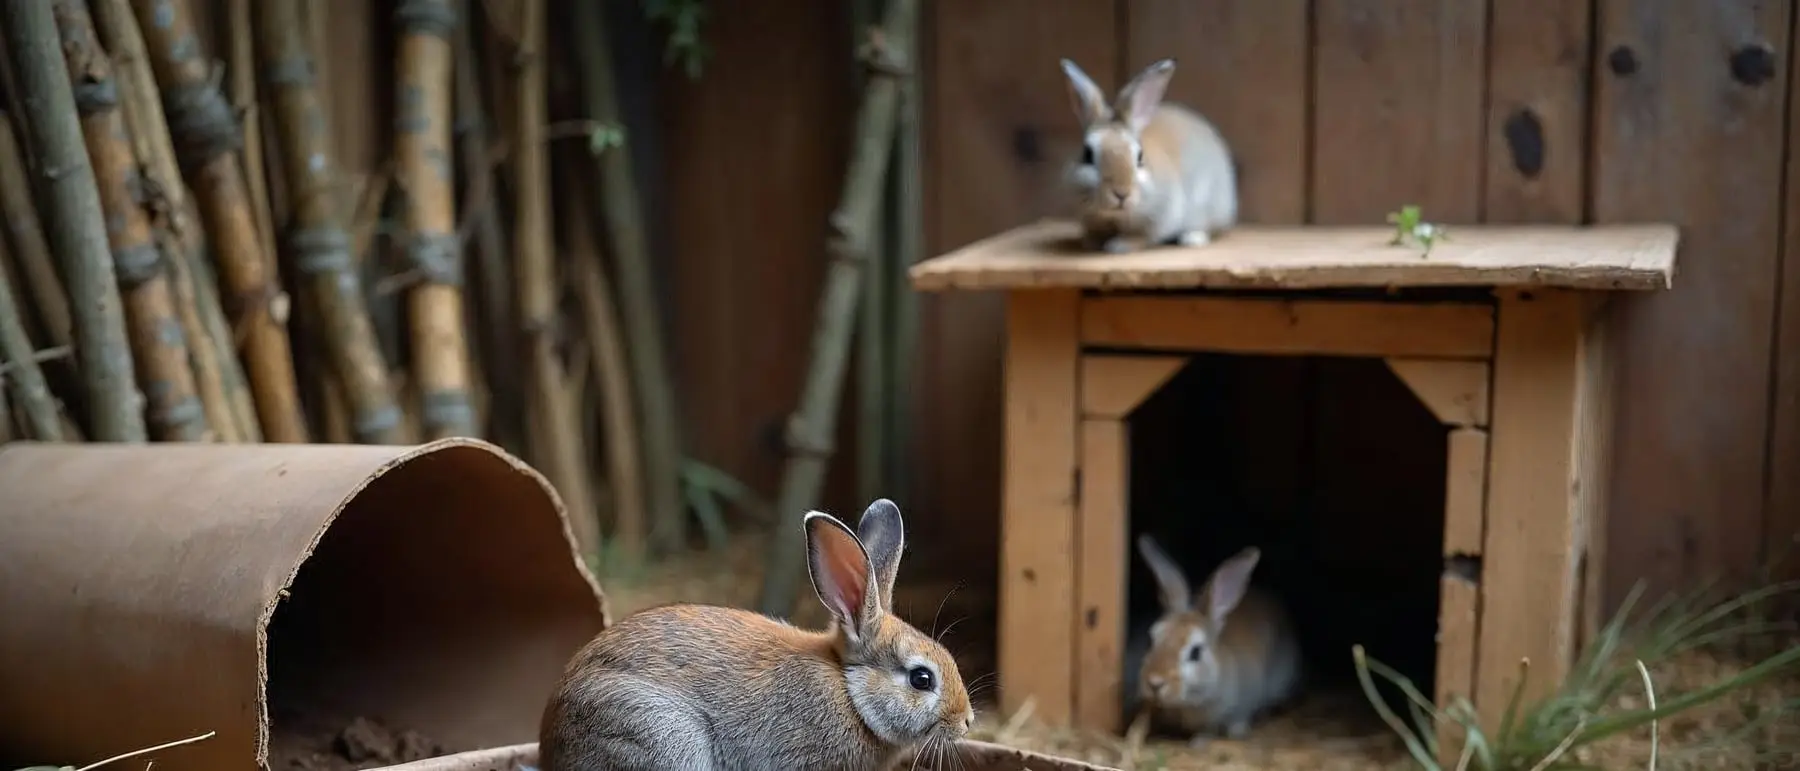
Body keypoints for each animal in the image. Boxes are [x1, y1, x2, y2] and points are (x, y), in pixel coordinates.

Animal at [1058, 57, 1238, 254]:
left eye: (1139, 157)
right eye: (1087, 154)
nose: (1121, 193)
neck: (1115, 218)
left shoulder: (1159, 218)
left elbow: (1142, 237)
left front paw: (1118, 245)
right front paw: (1091, 243)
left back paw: (1191, 239)